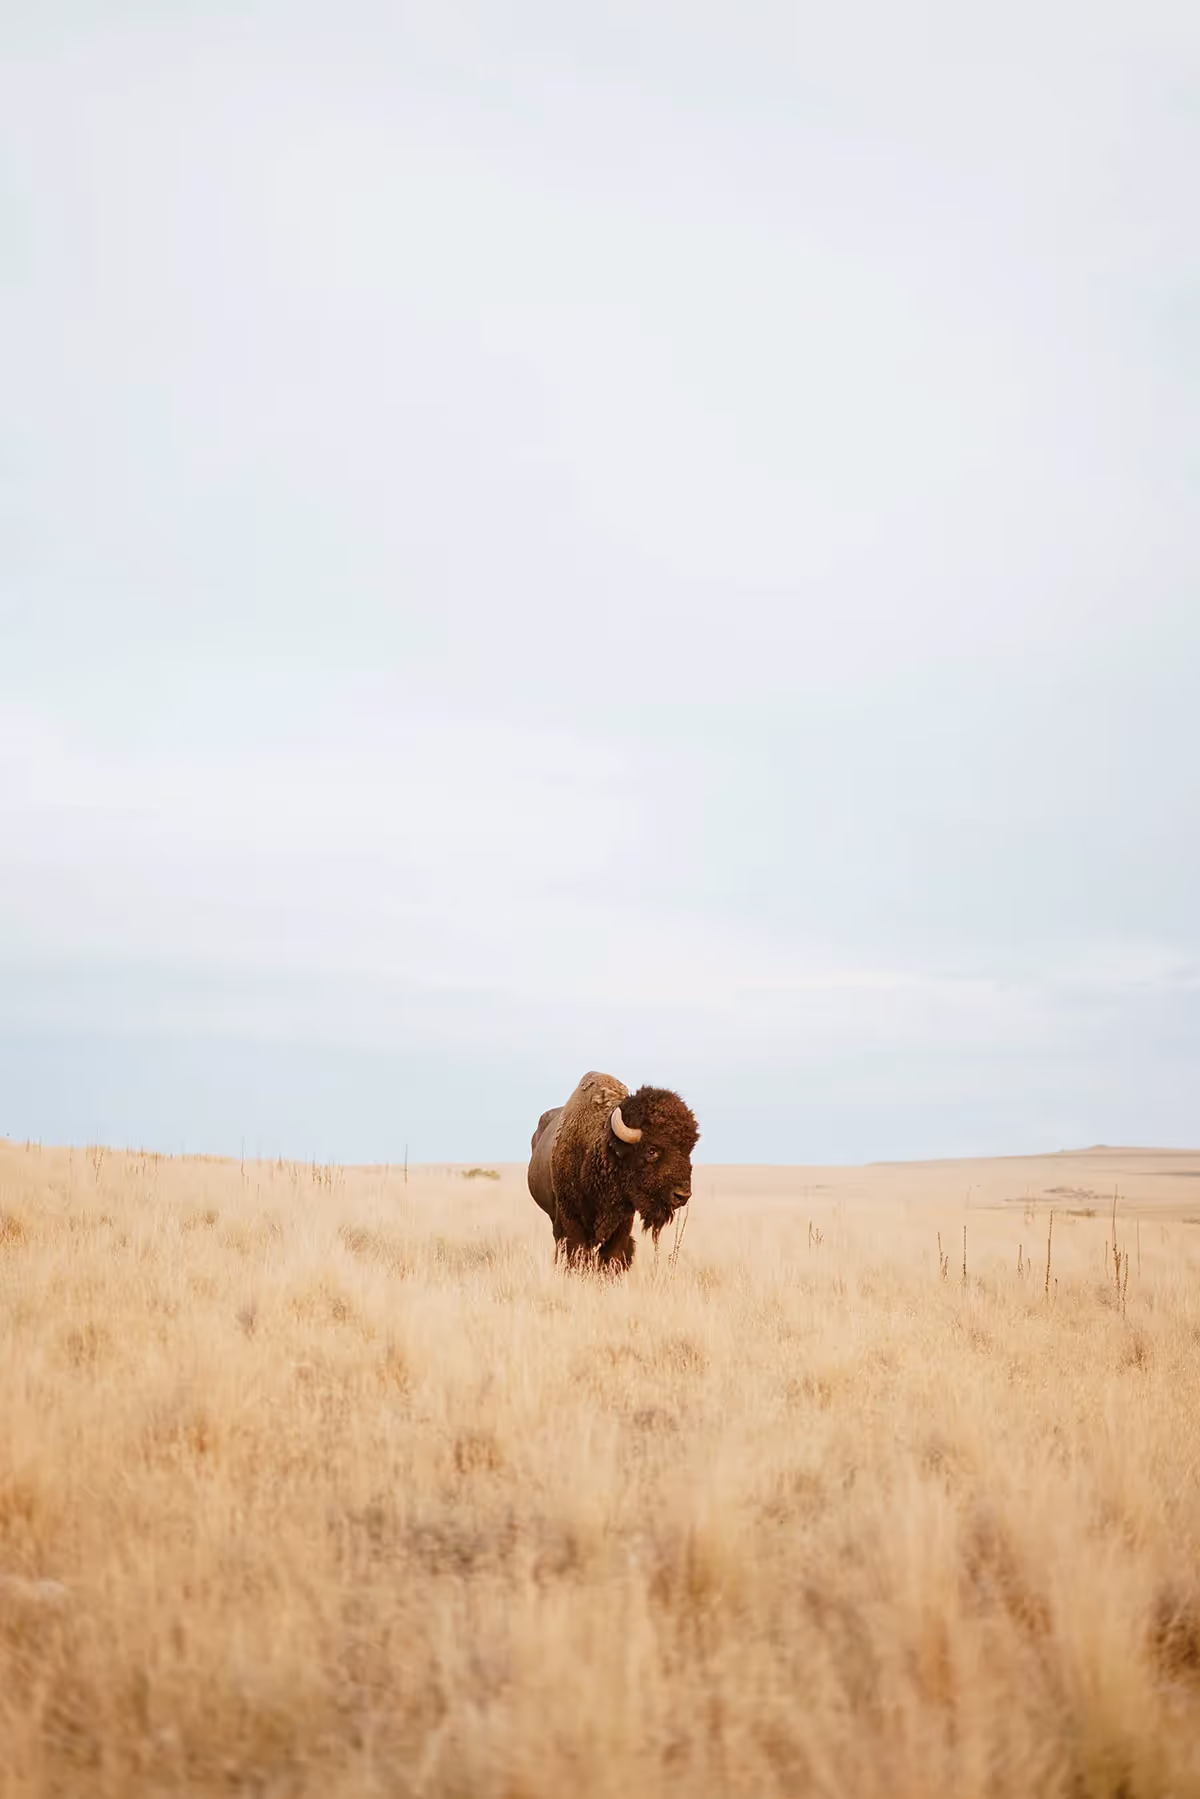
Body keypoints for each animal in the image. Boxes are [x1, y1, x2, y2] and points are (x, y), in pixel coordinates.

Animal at [527, 1070, 699, 1273]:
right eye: (651, 1150)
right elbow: (577, 1253)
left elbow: (612, 1256)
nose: (682, 1195)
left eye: (688, 1150)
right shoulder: (570, 1217)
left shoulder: (622, 1222)